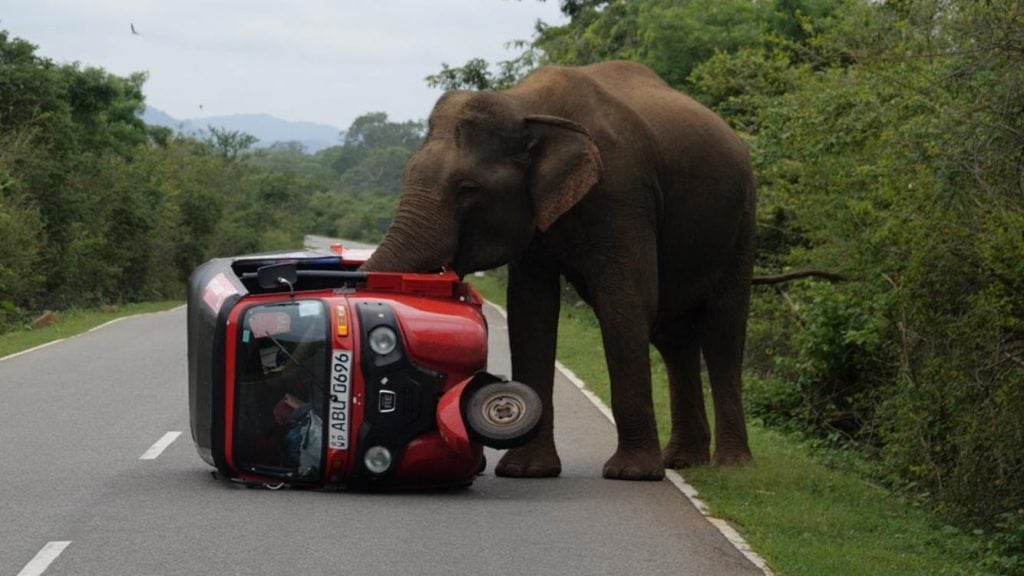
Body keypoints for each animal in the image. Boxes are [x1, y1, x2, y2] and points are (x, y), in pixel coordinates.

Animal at [364, 59, 757, 479]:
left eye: (469, 189)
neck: (525, 105)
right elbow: (530, 309)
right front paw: (525, 471)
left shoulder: (623, 193)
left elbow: (626, 301)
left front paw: (630, 474)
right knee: (674, 337)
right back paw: (682, 460)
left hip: (742, 219)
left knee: (722, 330)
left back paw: (730, 467)